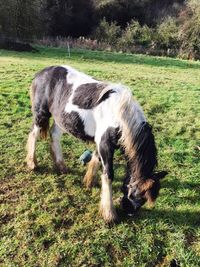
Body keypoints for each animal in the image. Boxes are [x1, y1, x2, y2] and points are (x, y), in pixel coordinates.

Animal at [26, 65, 167, 224]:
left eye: (143, 200)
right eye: (135, 194)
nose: (128, 211)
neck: (120, 116)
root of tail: (41, 73)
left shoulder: (102, 144)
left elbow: (95, 161)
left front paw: (88, 182)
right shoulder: (105, 144)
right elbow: (108, 175)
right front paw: (109, 214)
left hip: (61, 119)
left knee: (54, 135)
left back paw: (61, 167)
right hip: (41, 114)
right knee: (33, 134)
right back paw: (32, 164)